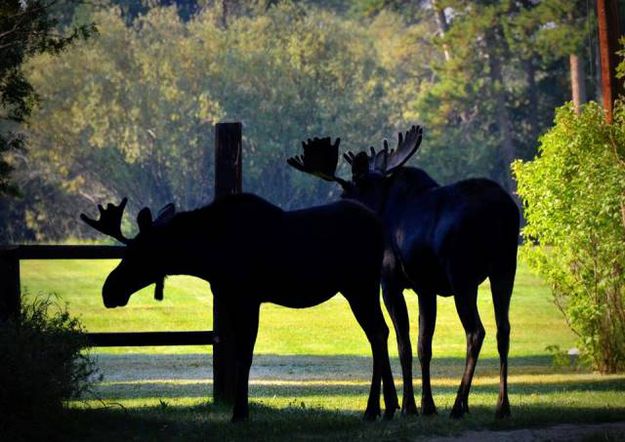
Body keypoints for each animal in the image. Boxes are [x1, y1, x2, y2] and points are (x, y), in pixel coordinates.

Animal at [80, 193, 398, 422]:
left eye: (138, 252)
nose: (109, 290)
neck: (206, 258)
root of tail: (381, 226)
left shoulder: (247, 297)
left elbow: (244, 356)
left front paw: (240, 413)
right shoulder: (230, 298)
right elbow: (237, 356)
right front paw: (239, 409)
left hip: (359, 285)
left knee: (377, 333)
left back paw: (373, 409)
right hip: (362, 287)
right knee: (381, 332)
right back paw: (390, 407)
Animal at [288, 126, 520, 420]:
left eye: (346, 190)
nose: (340, 209)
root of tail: (504, 212)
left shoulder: (390, 283)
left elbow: (404, 345)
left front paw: (408, 405)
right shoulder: (426, 287)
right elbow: (424, 346)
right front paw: (427, 405)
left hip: (462, 276)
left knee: (476, 332)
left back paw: (459, 404)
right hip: (505, 267)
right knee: (504, 330)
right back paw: (502, 405)